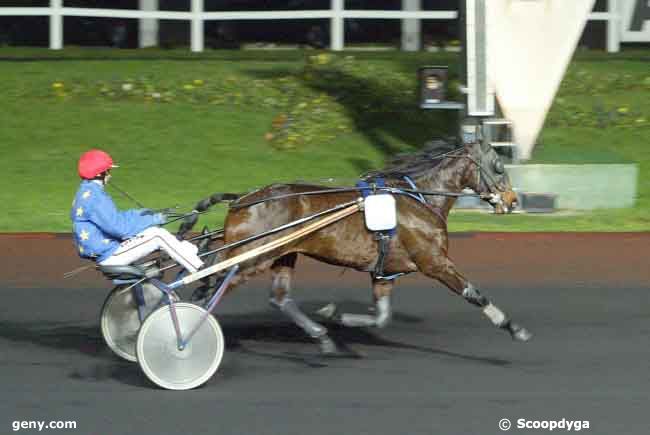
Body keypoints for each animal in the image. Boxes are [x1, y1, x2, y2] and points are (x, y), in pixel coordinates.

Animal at [180, 141, 528, 356]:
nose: (513, 201)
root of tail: (242, 199)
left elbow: (382, 316)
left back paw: (321, 337)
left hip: (282, 254)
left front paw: (336, 315)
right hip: (250, 258)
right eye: (498, 165)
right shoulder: (434, 262)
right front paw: (514, 328)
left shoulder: (384, 273)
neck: (419, 198)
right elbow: (474, 293)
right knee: (213, 289)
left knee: (277, 298)